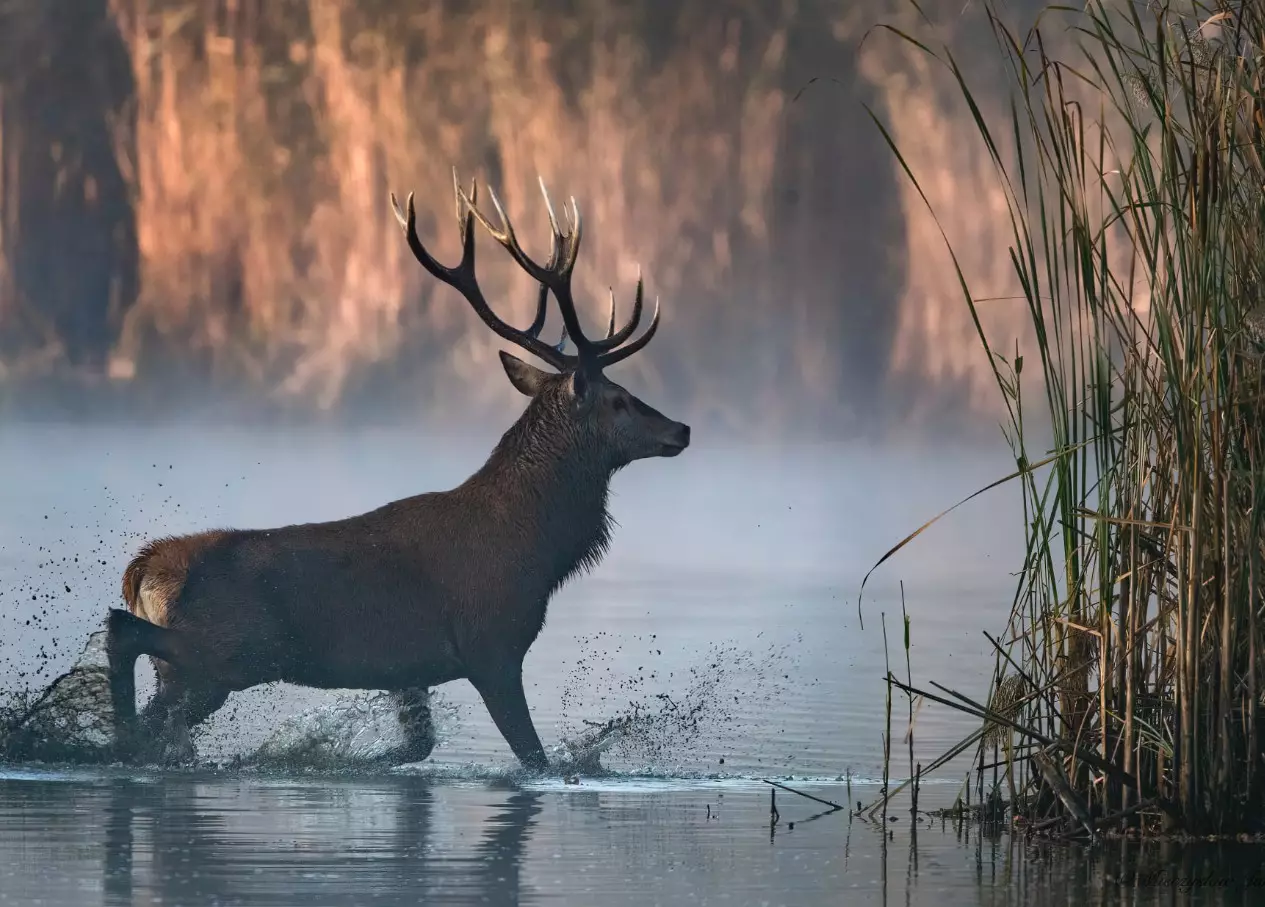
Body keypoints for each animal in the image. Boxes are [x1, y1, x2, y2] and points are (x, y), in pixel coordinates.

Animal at [103, 170, 690, 770]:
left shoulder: (407, 669)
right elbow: (533, 757)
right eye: (619, 399)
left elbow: (417, 742)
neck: (537, 550)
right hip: (231, 652)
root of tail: (142, 567)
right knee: (123, 635)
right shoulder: (492, 646)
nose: (681, 430)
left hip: (197, 671)